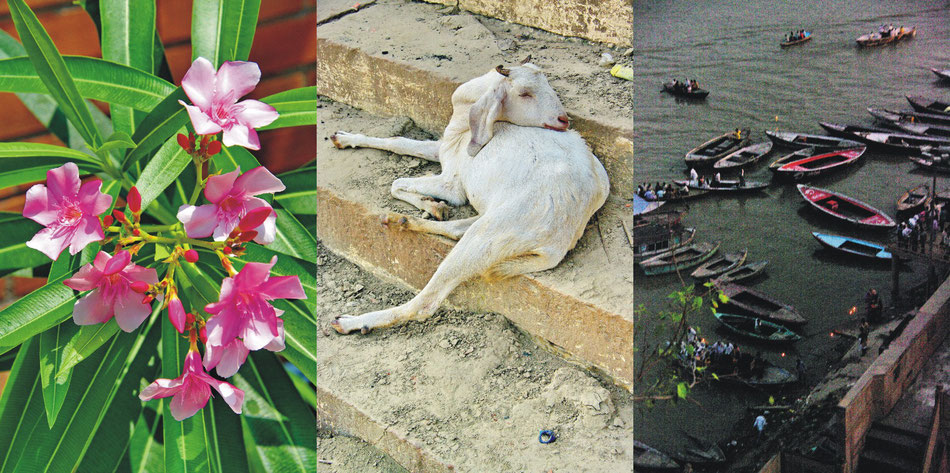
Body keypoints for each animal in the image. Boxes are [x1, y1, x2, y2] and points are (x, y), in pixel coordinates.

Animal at [328, 57, 608, 334]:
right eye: (525, 93)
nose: (564, 120)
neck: (465, 126)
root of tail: (561, 242)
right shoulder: (443, 147)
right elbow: (398, 142)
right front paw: (343, 137)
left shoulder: (452, 184)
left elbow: (396, 183)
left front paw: (432, 204)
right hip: (495, 222)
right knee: (457, 230)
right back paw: (403, 221)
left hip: (490, 233)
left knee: (427, 301)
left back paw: (354, 321)